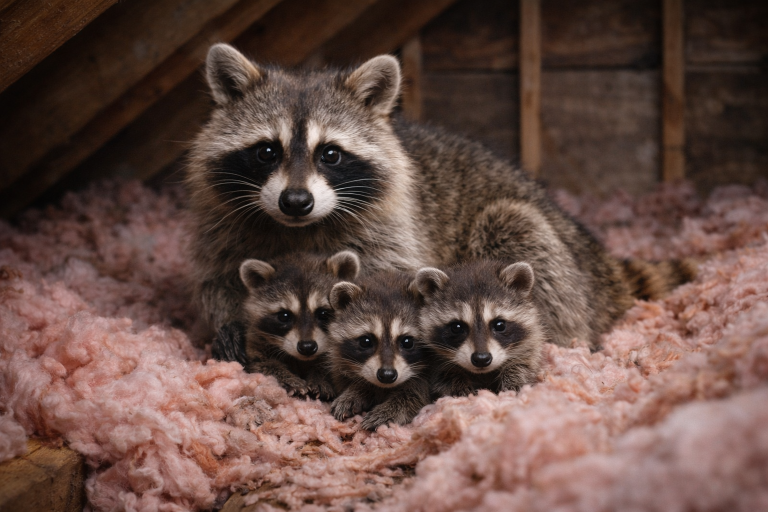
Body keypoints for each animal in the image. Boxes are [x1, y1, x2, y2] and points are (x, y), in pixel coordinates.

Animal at [187, 43, 695, 351]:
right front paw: (231, 320)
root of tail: (593, 255)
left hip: (545, 252)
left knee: (516, 227)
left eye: (329, 154)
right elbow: (215, 278)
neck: (300, 227)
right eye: (266, 151)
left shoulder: (391, 227)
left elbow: (391, 282)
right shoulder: (220, 215)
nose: (296, 202)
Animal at [236, 250, 360, 399]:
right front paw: (287, 378)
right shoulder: (256, 337)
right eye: (284, 316)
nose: (307, 347)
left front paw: (320, 377)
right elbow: (261, 363)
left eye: (323, 314)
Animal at [327, 271, 429, 430]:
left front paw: (389, 410)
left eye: (407, 342)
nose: (387, 375)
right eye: (365, 341)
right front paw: (357, 389)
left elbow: (415, 394)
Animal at [415, 260, 545, 398]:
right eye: (457, 327)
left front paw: (514, 381)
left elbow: (523, 364)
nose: (481, 359)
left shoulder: (530, 342)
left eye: (500, 325)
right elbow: (444, 375)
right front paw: (457, 385)